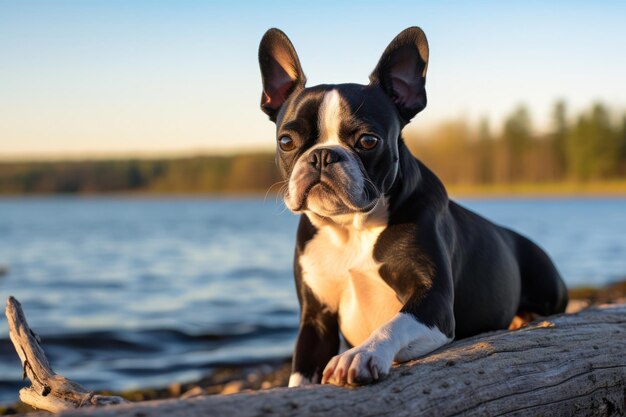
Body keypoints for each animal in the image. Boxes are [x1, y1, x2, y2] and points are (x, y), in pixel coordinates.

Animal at [256, 26, 568, 386]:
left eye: (368, 141)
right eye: (286, 142)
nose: (322, 155)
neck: (351, 228)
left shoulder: (433, 304)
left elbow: (394, 324)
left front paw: (361, 354)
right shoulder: (316, 320)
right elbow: (301, 375)